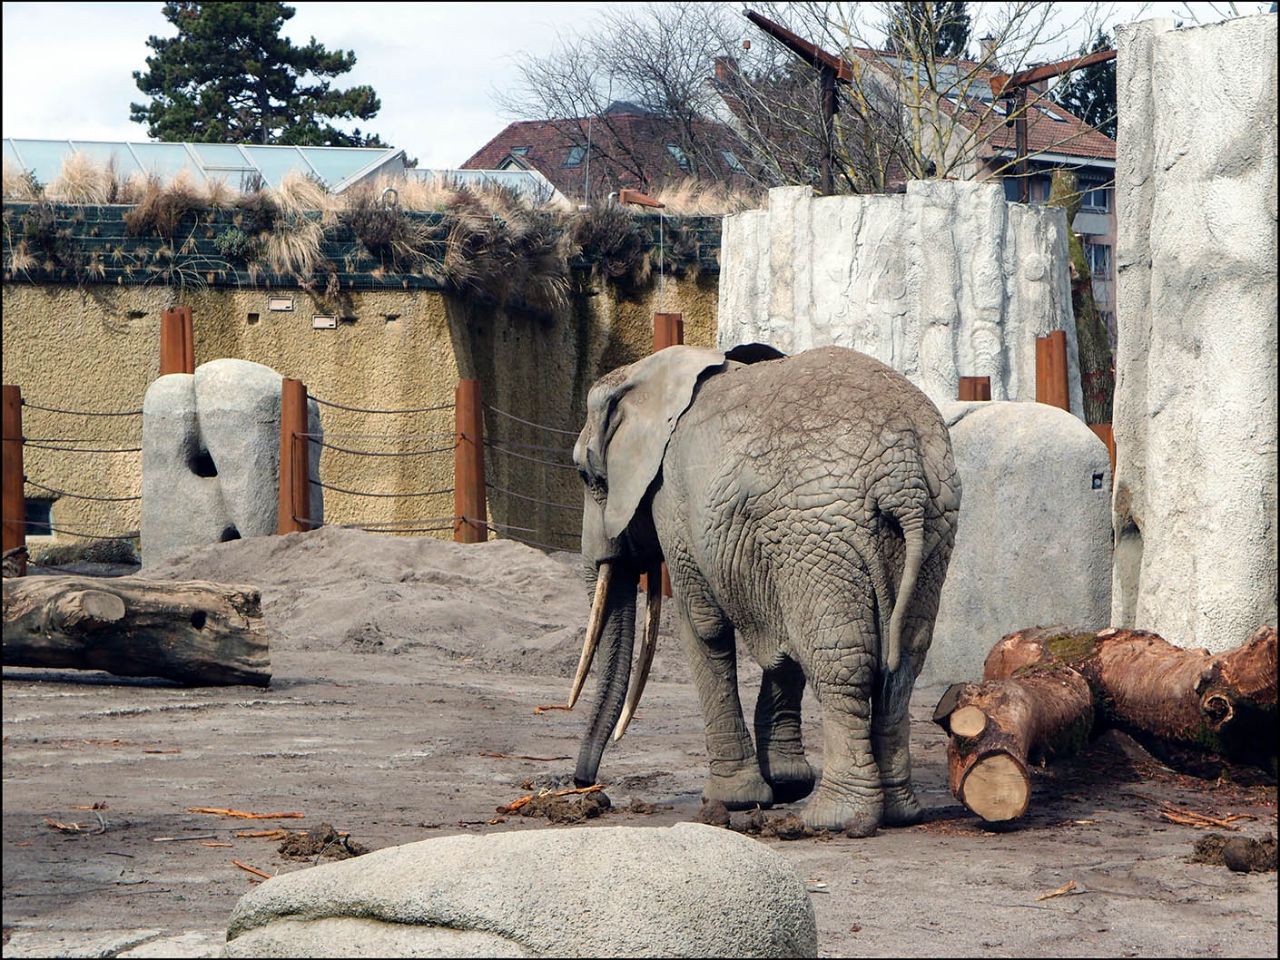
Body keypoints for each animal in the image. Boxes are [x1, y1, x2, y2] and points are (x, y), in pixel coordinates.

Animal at [565, 343, 957, 834]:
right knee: (903, 659)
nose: (583, 783)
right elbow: (782, 645)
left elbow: (704, 626)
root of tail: (902, 469)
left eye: (586, 476)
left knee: (841, 659)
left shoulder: (673, 500)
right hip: (930, 526)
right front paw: (784, 784)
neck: (650, 376)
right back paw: (899, 812)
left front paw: (732, 800)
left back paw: (834, 819)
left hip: (820, 532)